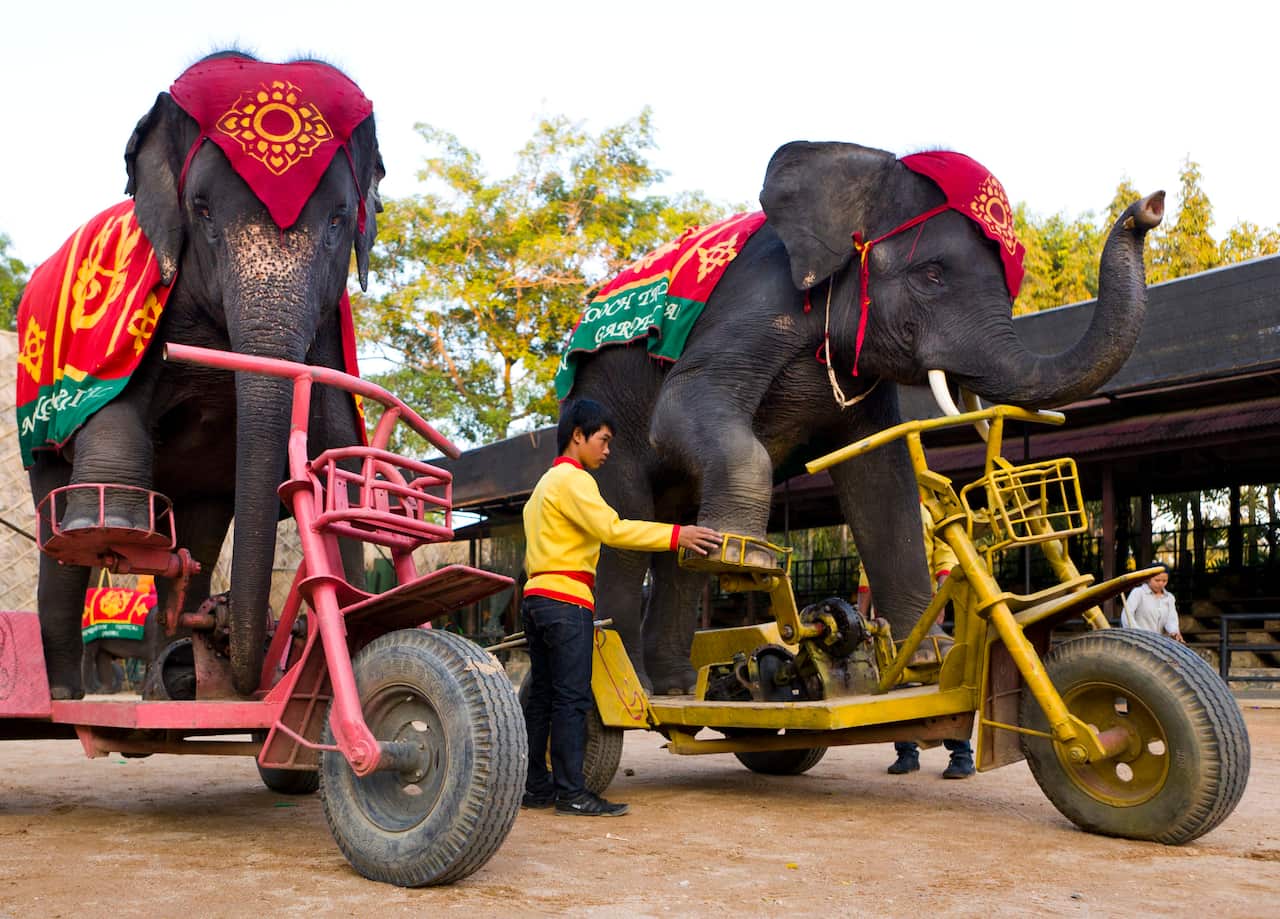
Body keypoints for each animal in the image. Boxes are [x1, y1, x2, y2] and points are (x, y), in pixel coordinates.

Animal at [20, 52, 382, 698]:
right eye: (203, 210)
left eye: (340, 219)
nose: (255, 658)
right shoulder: (131, 313)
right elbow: (114, 401)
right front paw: (112, 524)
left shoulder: (329, 335)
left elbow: (338, 441)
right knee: (60, 555)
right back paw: (68, 695)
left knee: (196, 541)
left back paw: (161, 684)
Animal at [564, 141, 1163, 694]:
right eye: (932, 275)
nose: (1150, 206)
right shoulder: (753, 298)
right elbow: (685, 402)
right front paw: (749, 560)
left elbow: (882, 476)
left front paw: (927, 660)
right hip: (602, 414)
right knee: (625, 519)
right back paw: (631, 686)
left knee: (676, 543)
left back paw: (678, 687)